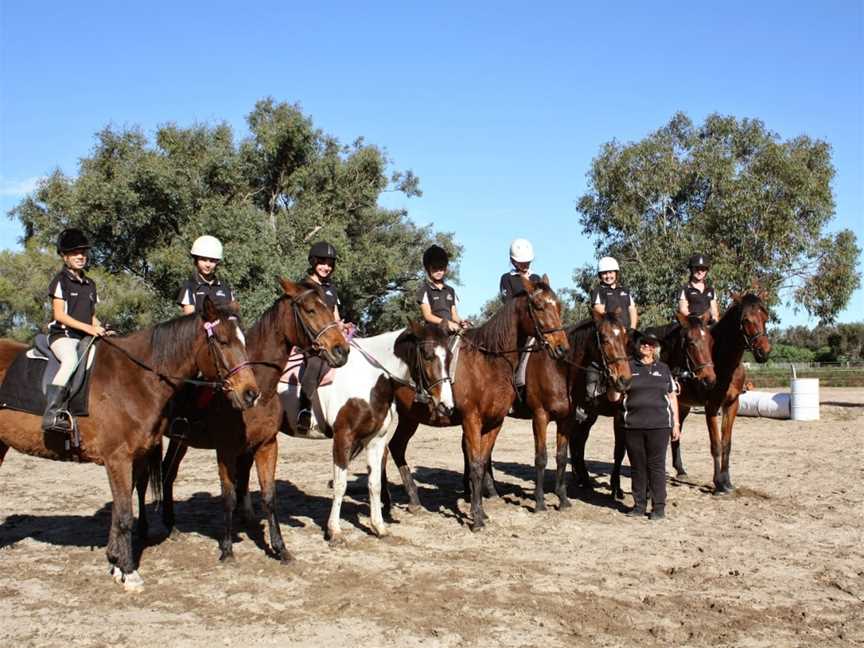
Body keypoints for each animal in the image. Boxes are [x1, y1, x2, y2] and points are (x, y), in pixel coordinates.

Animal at [0, 298, 258, 588]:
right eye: (223, 341)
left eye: (243, 340)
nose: (251, 394)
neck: (135, 379)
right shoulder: (118, 458)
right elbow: (123, 514)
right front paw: (129, 571)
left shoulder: (134, 457)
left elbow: (119, 511)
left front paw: (115, 563)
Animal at [160, 280, 350, 564]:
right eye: (310, 310)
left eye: (328, 306)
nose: (342, 350)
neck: (258, 388)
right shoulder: (226, 450)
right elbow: (228, 497)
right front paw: (227, 549)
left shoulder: (266, 445)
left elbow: (269, 496)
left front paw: (280, 548)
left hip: (179, 440)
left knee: (166, 473)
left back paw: (170, 526)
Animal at [278, 318, 452, 540]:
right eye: (428, 356)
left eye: (450, 357)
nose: (447, 405)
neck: (369, 378)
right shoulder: (343, 437)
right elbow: (340, 485)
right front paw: (334, 530)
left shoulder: (376, 440)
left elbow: (374, 483)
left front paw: (379, 527)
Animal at [382, 276, 572, 528]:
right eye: (539, 306)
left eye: (558, 306)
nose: (562, 348)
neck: (488, 362)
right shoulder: (472, 420)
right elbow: (474, 464)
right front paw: (477, 518)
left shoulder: (495, 422)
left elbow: (481, 462)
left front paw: (479, 510)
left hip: (409, 417)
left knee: (394, 448)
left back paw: (412, 500)